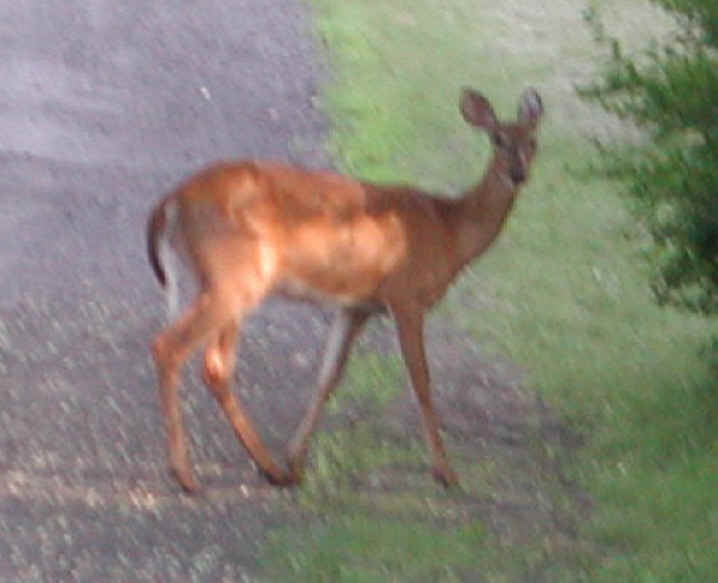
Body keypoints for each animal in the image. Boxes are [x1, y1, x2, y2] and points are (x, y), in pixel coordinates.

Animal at [147, 87, 543, 493]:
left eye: (533, 142)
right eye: (497, 139)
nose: (517, 174)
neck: (448, 231)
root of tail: (171, 201)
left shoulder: (357, 306)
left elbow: (328, 378)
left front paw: (296, 460)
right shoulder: (406, 295)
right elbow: (422, 381)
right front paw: (445, 472)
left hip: (225, 282)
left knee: (215, 365)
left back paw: (271, 468)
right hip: (237, 275)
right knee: (172, 347)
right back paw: (187, 474)